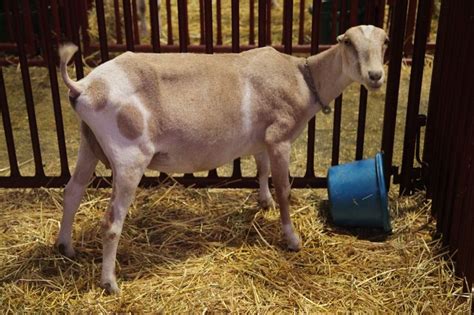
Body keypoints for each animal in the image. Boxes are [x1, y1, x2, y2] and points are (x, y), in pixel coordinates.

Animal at [56, 25, 388, 296]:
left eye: (385, 42)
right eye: (348, 43)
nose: (375, 76)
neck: (303, 79)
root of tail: (83, 87)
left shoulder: (262, 139)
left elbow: (261, 169)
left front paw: (263, 202)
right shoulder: (279, 137)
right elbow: (284, 190)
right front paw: (292, 239)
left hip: (89, 143)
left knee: (72, 192)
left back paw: (65, 247)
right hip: (129, 156)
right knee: (111, 222)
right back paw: (109, 283)